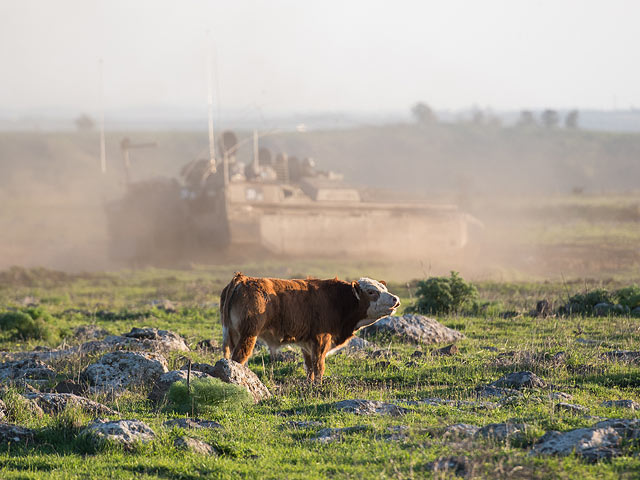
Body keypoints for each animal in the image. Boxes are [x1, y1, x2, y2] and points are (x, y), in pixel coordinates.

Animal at [221, 274, 400, 382]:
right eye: (371, 291)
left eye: (384, 289)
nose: (396, 299)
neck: (338, 301)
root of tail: (243, 279)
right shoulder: (321, 341)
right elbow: (319, 367)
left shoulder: (307, 344)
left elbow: (309, 368)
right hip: (248, 335)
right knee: (238, 358)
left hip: (233, 334)